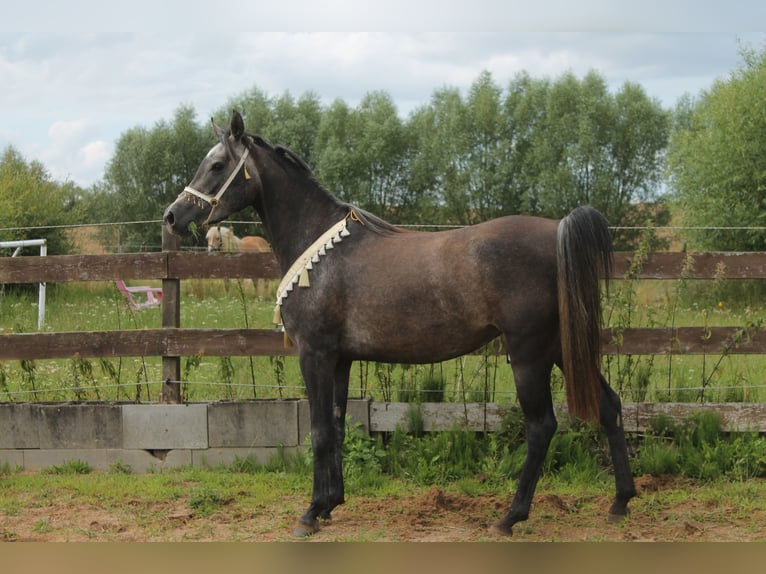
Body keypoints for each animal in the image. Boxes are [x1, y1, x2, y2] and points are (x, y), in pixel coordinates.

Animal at [163, 110, 636, 538]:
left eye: (217, 165)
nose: (172, 215)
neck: (320, 248)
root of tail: (557, 229)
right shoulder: (340, 360)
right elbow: (336, 426)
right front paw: (331, 503)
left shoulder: (314, 354)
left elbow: (319, 431)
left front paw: (311, 513)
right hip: (559, 348)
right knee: (609, 405)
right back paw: (620, 501)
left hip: (528, 354)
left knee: (541, 426)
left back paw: (510, 517)